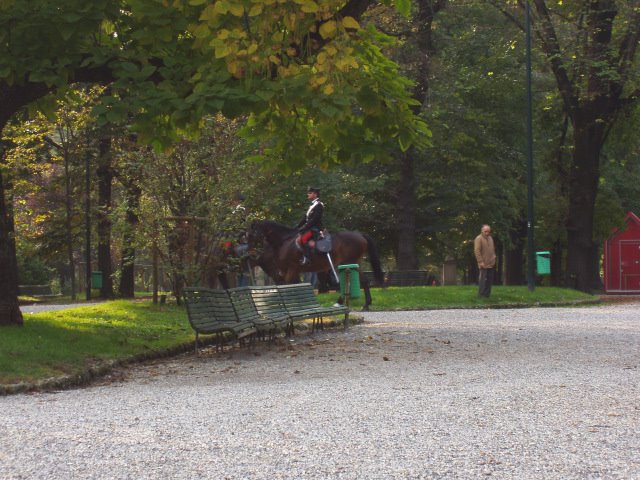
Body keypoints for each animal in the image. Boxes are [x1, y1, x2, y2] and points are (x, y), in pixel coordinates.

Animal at [248, 219, 382, 310]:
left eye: (251, 234)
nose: (248, 251)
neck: (284, 242)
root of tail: (359, 234)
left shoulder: (291, 269)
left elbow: (288, 285)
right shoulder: (290, 271)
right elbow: (293, 285)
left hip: (349, 263)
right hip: (353, 264)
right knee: (364, 281)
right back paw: (362, 304)